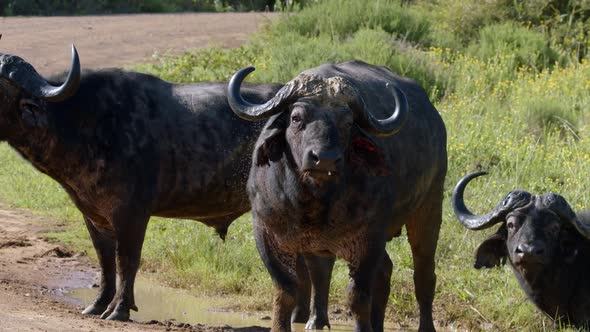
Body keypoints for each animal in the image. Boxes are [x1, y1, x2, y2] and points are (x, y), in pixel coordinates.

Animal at [0, 46, 286, 322]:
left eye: (1, 90)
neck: (86, 122)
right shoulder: (93, 215)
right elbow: (105, 260)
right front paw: (98, 304)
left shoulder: (132, 214)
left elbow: (127, 259)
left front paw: (119, 309)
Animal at [227, 60, 448, 332]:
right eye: (296, 118)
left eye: (346, 122)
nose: (324, 158)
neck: (314, 199)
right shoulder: (267, 232)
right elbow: (286, 290)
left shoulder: (369, 237)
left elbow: (357, 296)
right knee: (371, 271)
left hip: (429, 207)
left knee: (423, 273)